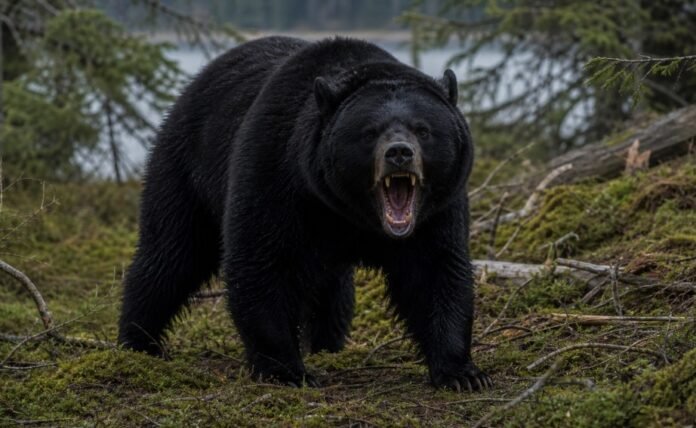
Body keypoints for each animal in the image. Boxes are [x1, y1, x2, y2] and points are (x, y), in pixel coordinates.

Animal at [118, 36, 491, 391]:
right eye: (370, 132)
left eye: (423, 129)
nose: (399, 153)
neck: (351, 214)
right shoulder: (277, 175)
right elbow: (261, 264)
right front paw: (287, 370)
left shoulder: (437, 212)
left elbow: (436, 271)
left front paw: (462, 373)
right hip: (185, 167)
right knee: (170, 256)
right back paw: (138, 341)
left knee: (334, 295)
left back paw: (326, 345)